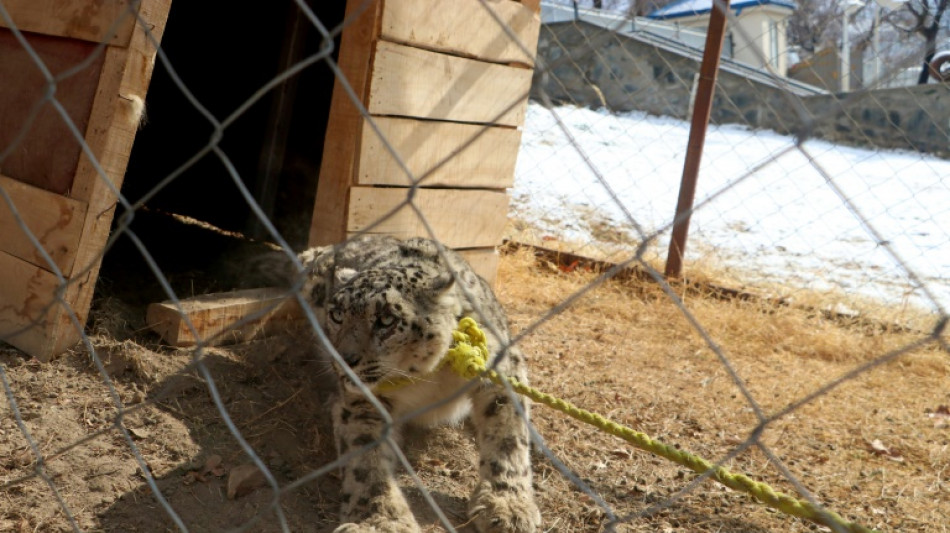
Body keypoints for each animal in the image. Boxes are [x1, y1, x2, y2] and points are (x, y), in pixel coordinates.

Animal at [282, 236, 540, 532]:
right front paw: (381, 521)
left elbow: (509, 437)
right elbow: (366, 460)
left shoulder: (501, 369)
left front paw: (507, 507)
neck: (427, 377)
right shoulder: (364, 402)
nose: (344, 359)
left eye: (386, 320)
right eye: (336, 315)